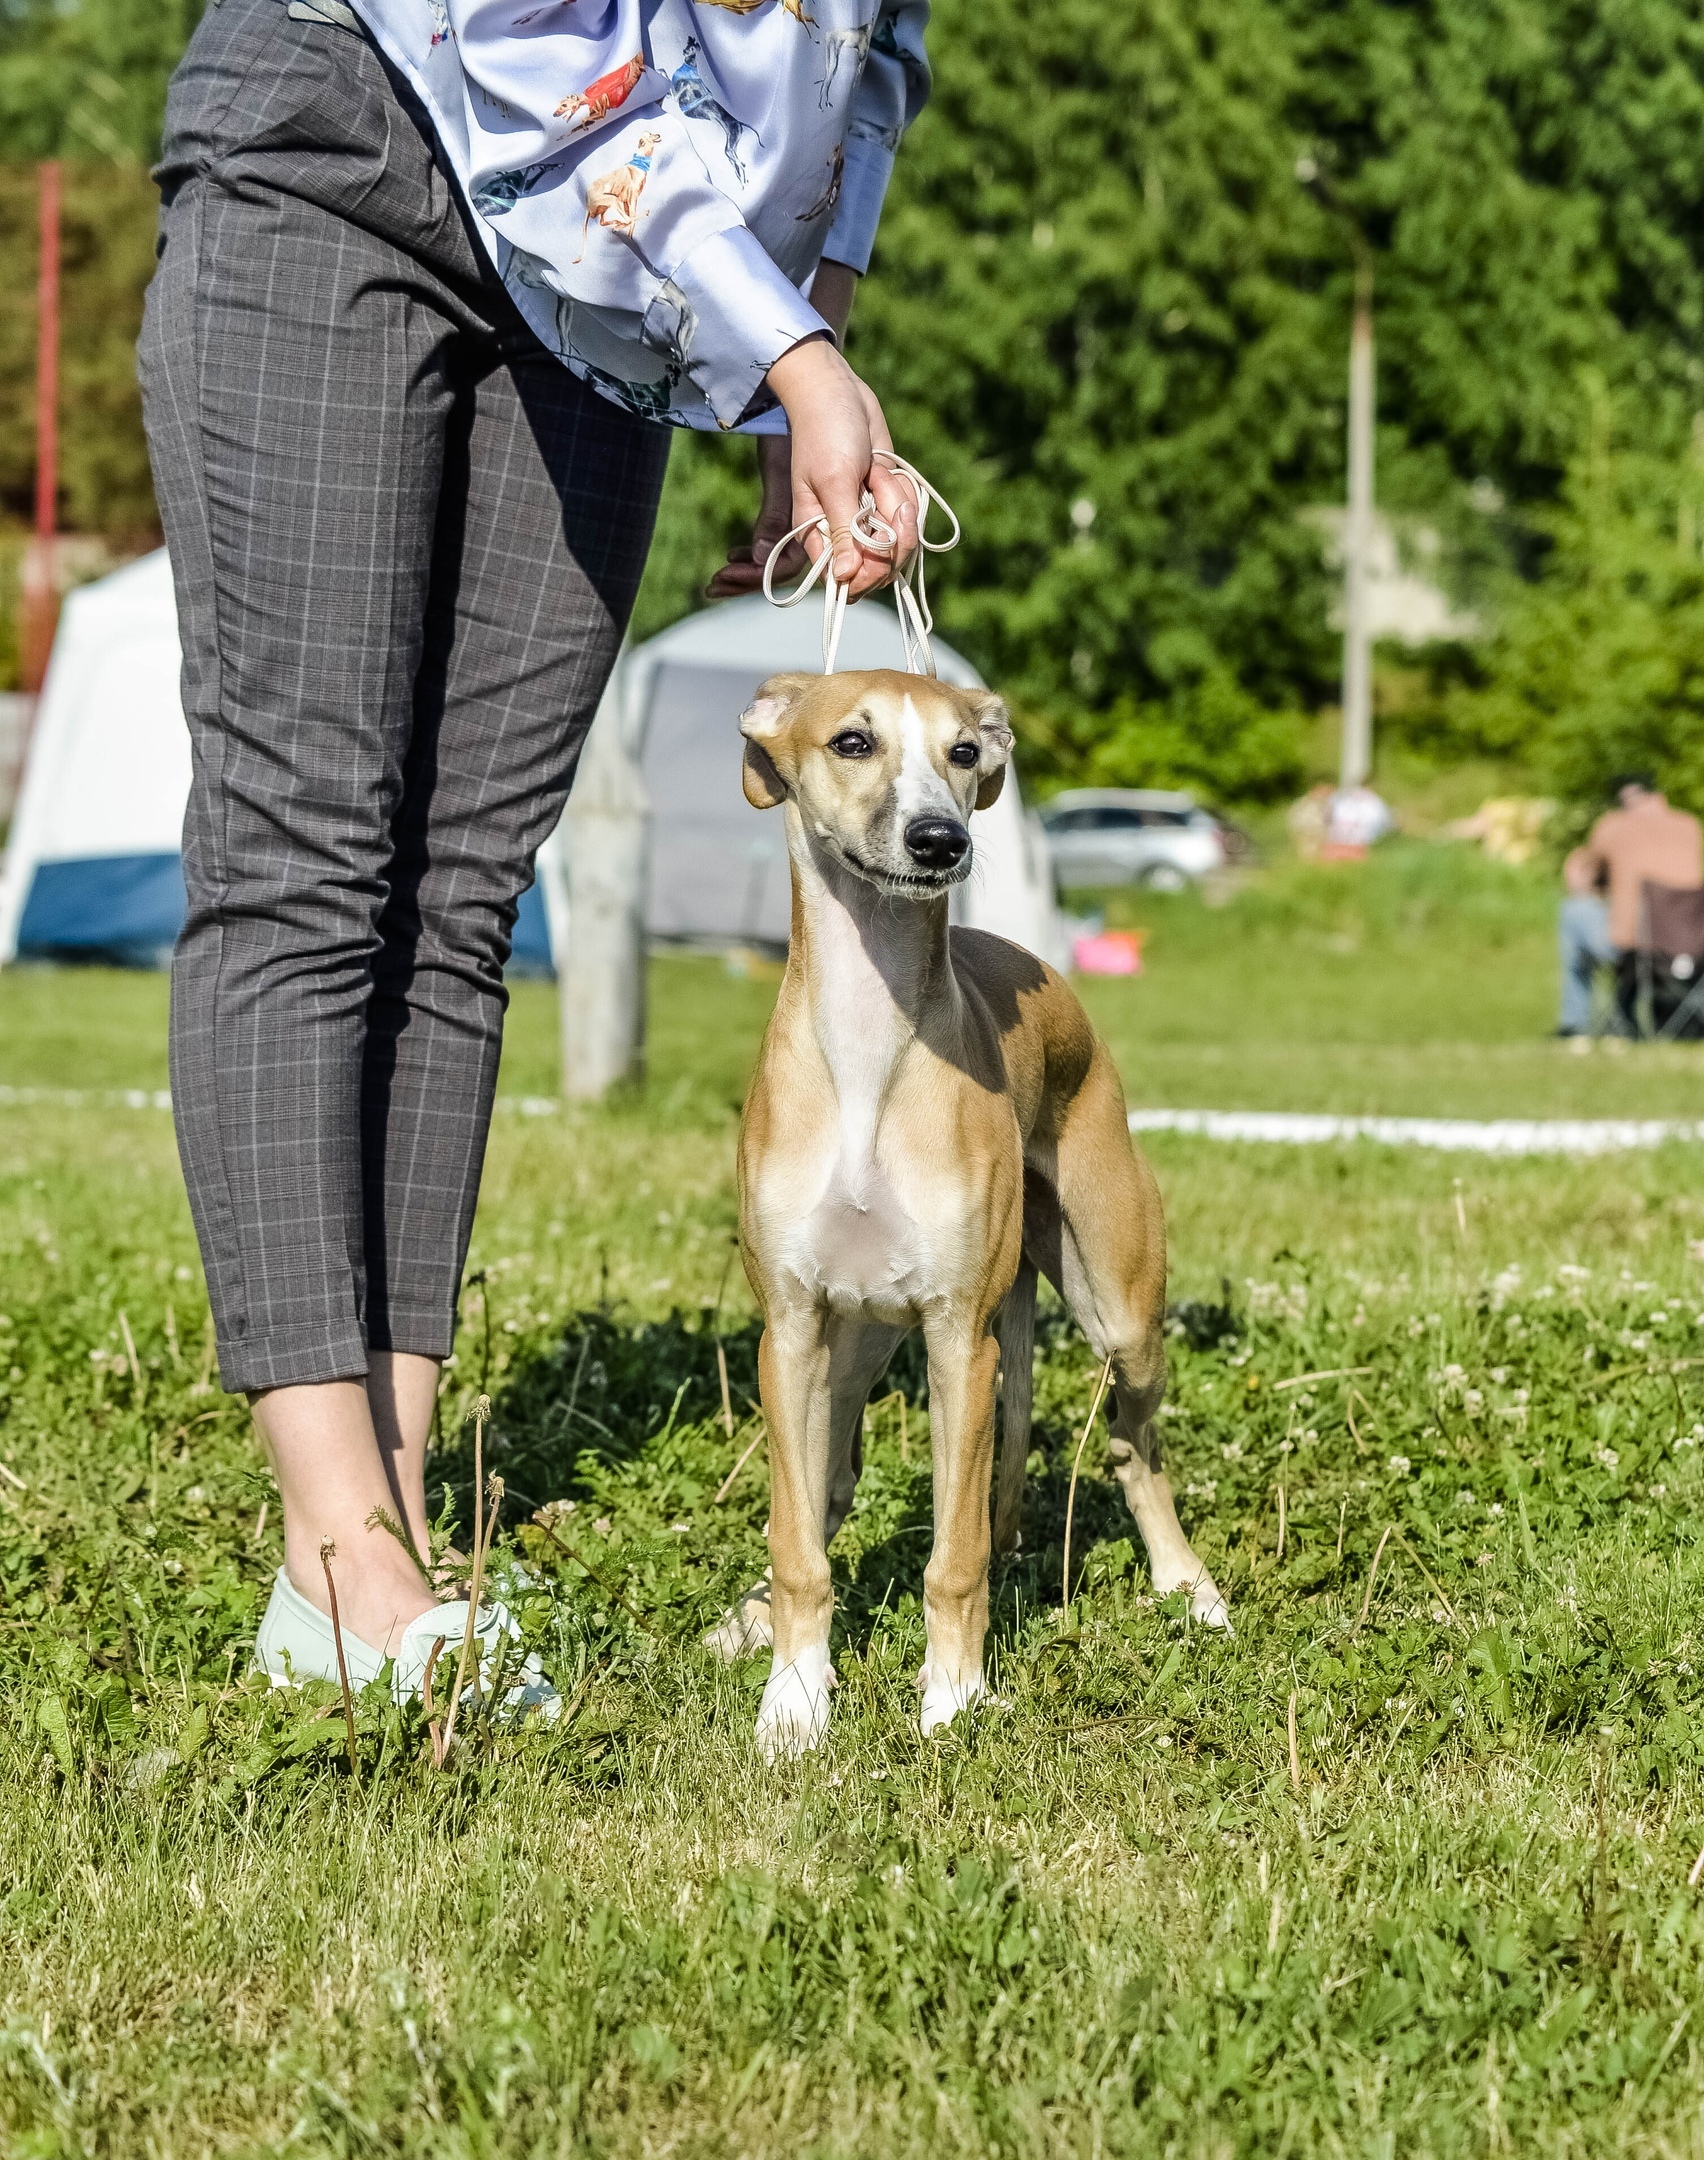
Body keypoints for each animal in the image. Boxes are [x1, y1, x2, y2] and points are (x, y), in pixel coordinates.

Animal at [717, 669, 1226, 1753]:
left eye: (963, 751)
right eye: (853, 740)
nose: (938, 841)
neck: (869, 1048)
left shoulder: (962, 1337)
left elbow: (956, 1557)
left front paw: (953, 1697)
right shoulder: (790, 1329)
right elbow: (797, 1543)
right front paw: (794, 1699)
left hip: (1119, 1311)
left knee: (1135, 1451)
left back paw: (1190, 1588)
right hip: (852, 1352)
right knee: (825, 1490)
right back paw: (748, 1620)